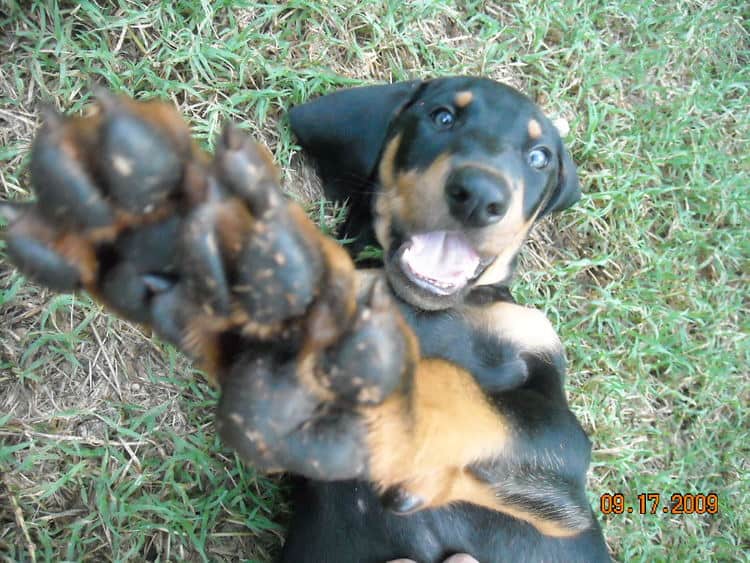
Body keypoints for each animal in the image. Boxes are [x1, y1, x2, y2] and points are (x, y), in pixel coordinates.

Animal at [0, 77, 612, 560]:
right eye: (443, 117)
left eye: (539, 157)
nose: (480, 194)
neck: (419, 306)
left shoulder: (563, 473)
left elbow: (479, 404)